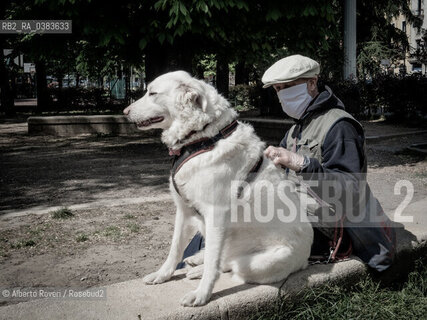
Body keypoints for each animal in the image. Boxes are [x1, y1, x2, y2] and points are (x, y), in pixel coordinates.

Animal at [123, 71, 314, 306]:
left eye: (152, 93)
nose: (125, 112)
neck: (204, 137)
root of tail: (306, 259)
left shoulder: (216, 215)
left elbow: (213, 264)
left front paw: (202, 294)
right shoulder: (183, 211)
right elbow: (175, 248)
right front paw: (162, 275)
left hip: (259, 262)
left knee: (228, 264)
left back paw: (199, 270)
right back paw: (197, 261)